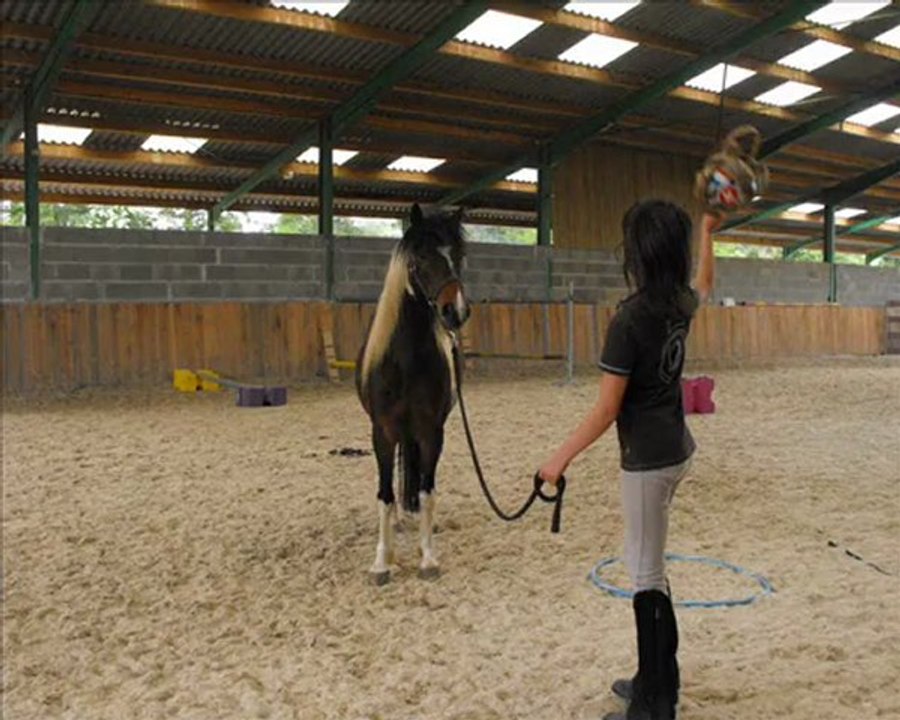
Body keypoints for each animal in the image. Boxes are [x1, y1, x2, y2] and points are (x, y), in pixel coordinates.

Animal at [355, 203, 470, 585]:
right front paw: (381, 562)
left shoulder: (432, 431)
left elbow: (426, 488)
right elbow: (384, 494)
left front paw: (428, 558)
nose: (455, 311)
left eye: (459, 255)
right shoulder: (382, 432)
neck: (405, 360)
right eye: (420, 256)